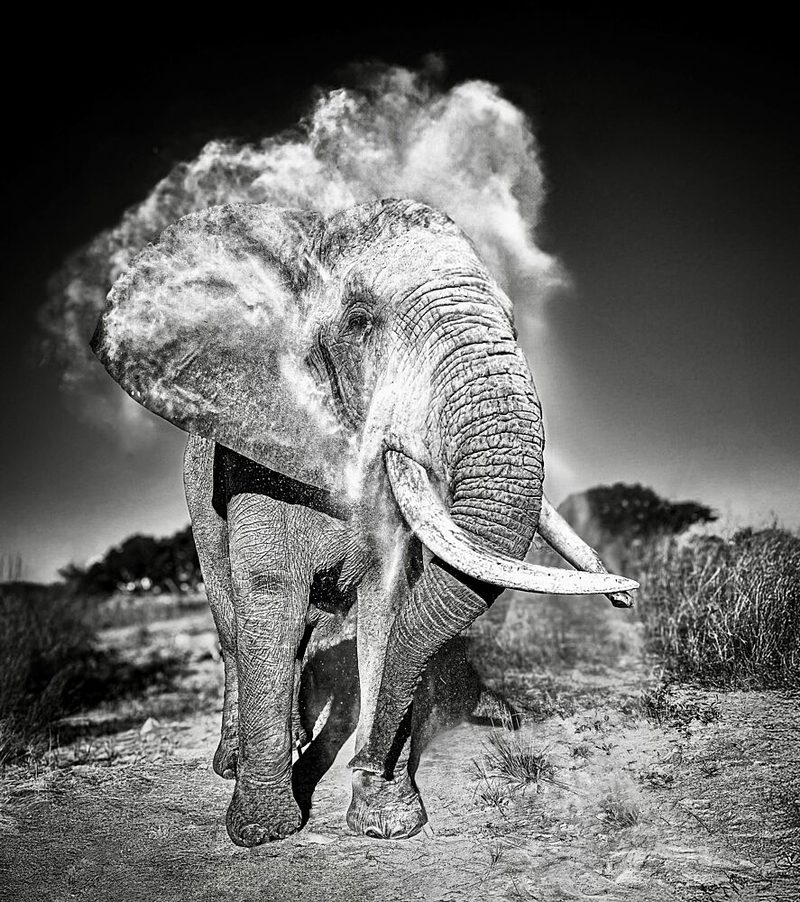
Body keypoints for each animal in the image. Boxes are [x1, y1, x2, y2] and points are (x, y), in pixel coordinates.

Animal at [91, 199, 637, 846]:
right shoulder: (253, 455)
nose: (626, 597)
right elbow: (272, 595)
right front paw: (264, 832)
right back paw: (234, 761)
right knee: (233, 619)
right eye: (358, 321)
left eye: (512, 320)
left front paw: (386, 819)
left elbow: (388, 604)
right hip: (197, 498)